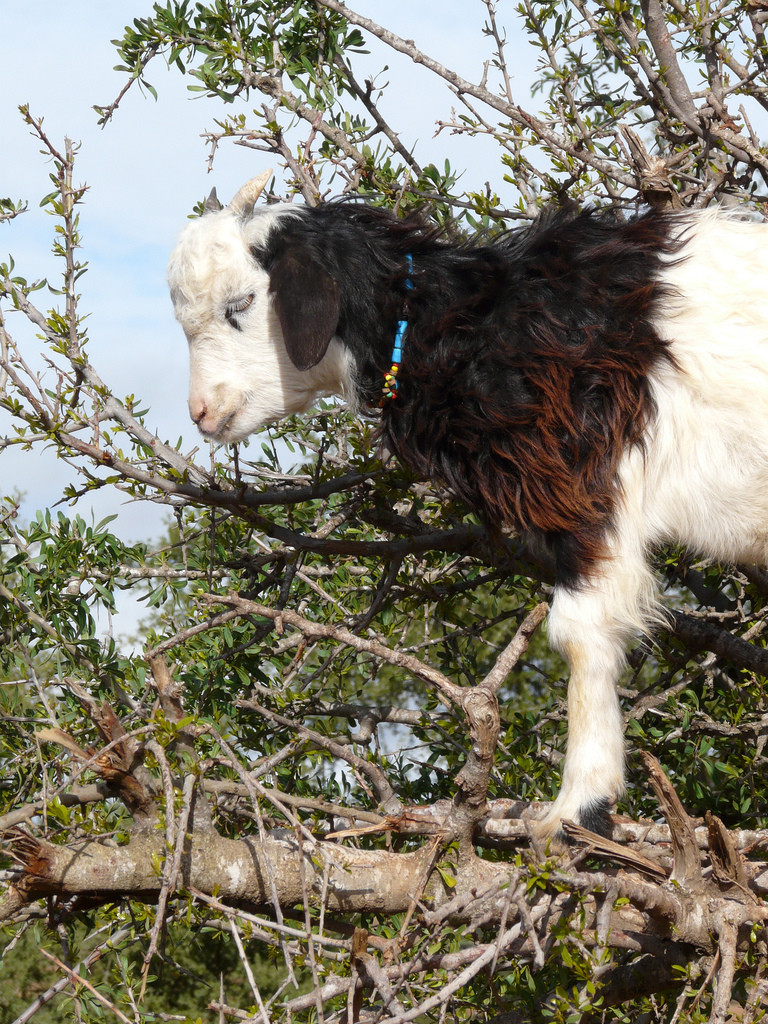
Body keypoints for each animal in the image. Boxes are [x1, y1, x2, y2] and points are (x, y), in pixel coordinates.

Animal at [168, 173, 768, 838]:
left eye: (241, 303)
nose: (201, 413)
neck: (472, 330)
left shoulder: (588, 490)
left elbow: (579, 634)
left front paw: (578, 809)